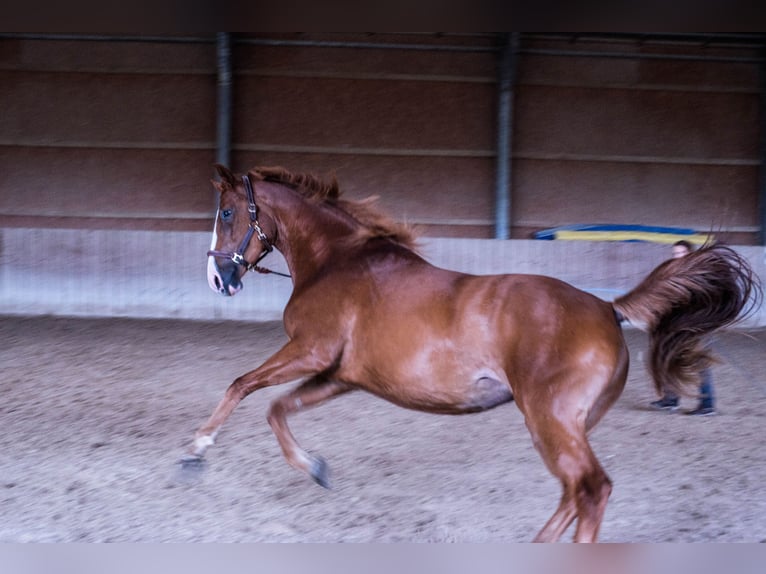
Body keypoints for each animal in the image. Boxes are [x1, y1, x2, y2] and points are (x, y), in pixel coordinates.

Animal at [188, 164, 760, 544]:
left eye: (227, 211)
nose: (218, 278)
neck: (338, 261)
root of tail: (606, 308)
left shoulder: (309, 351)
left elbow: (242, 385)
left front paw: (195, 449)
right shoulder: (338, 375)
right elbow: (276, 408)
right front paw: (314, 468)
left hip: (550, 419)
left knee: (591, 490)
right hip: (568, 424)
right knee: (572, 492)